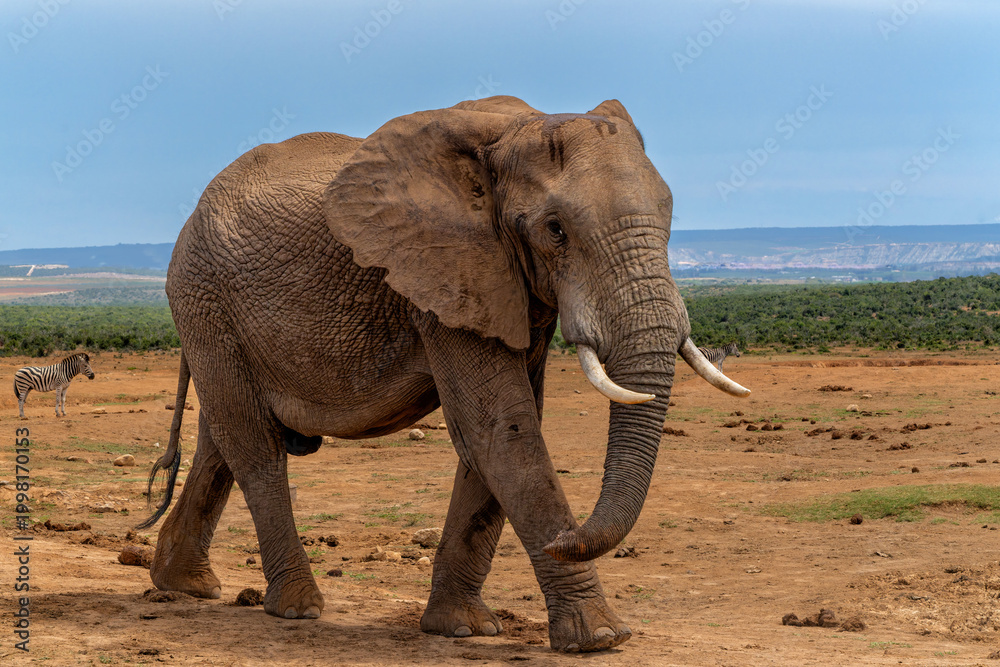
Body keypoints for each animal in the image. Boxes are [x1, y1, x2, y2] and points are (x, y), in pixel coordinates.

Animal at [138, 95, 749, 653]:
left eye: (669, 219)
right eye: (555, 229)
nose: (566, 537)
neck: (517, 129)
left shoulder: (505, 286)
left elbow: (500, 432)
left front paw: (463, 629)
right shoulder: (444, 274)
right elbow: (502, 430)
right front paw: (599, 638)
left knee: (220, 440)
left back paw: (184, 585)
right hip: (203, 298)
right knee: (254, 445)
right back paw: (297, 608)